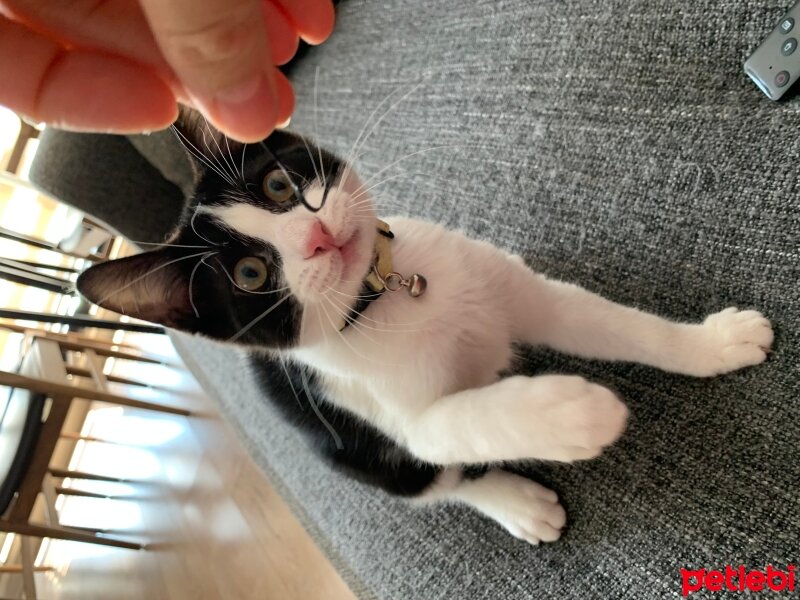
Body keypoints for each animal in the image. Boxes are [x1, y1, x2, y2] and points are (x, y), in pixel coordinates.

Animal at [78, 115, 772, 548]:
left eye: (276, 183)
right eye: (250, 274)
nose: (318, 236)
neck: (389, 295)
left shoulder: (516, 289)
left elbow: (602, 319)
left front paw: (714, 343)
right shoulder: (383, 410)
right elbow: (455, 425)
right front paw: (567, 412)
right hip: (348, 447)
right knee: (437, 480)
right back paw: (518, 503)